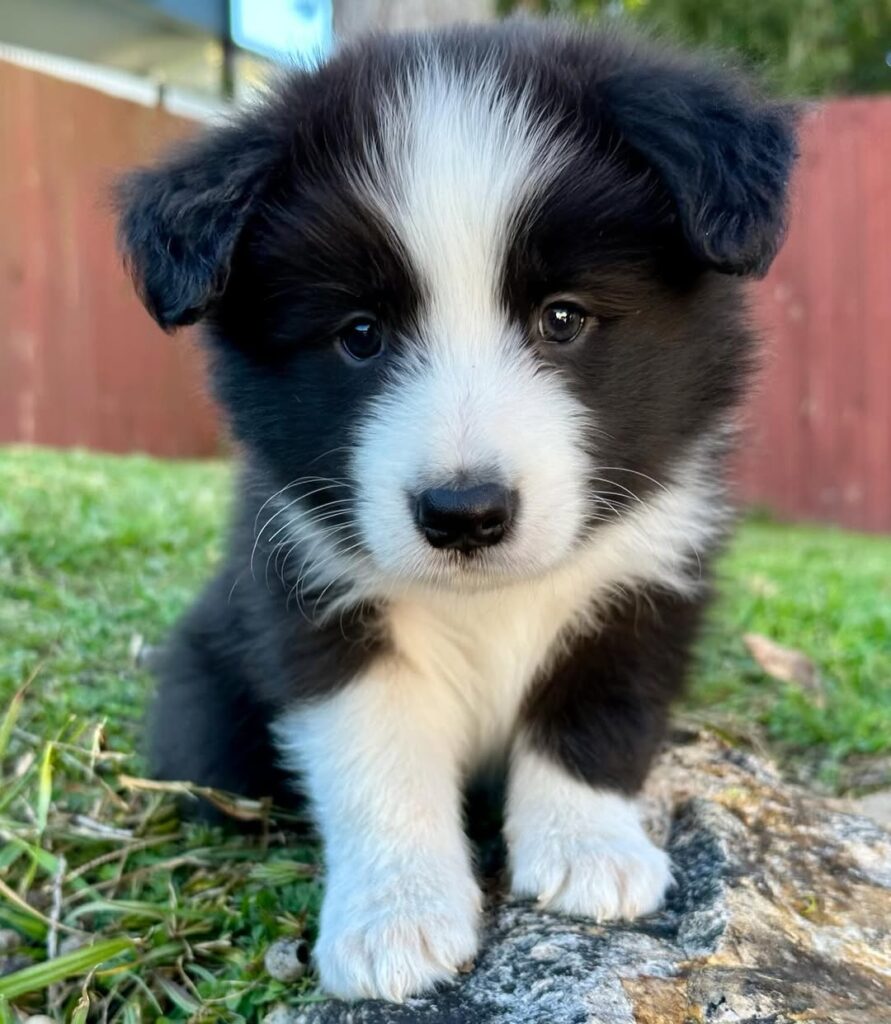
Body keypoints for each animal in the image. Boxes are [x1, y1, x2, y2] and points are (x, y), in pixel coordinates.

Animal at [116, 19, 796, 1002]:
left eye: (563, 317)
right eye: (359, 335)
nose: (464, 513)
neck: (487, 597)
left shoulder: (646, 577)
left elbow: (599, 713)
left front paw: (589, 850)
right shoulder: (311, 596)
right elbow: (378, 753)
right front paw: (393, 918)